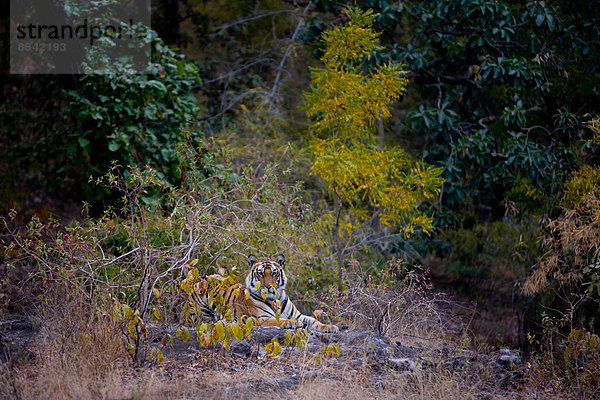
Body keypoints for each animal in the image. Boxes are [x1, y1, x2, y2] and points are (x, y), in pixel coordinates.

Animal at [189, 253, 338, 334]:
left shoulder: (298, 315)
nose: (268, 286)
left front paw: (330, 327)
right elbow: (278, 320)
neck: (275, 299)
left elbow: (314, 321)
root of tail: (202, 278)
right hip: (199, 313)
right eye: (260, 273)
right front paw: (292, 323)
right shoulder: (261, 319)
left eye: (274, 272)